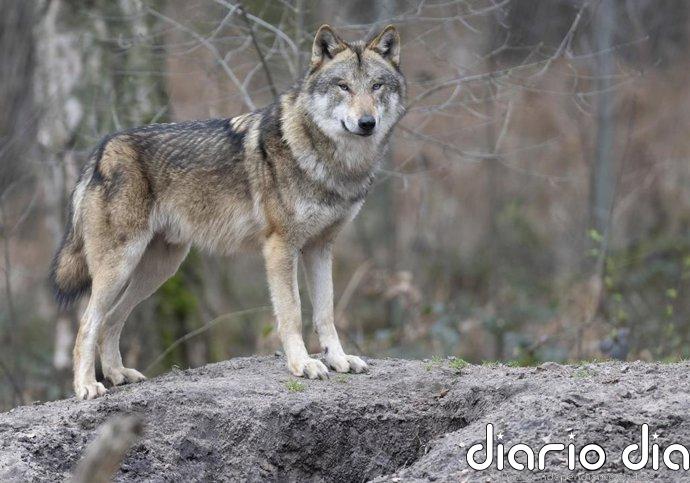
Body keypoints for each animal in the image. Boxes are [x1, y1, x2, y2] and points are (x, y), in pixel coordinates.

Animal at [50, 25, 406, 399]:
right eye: (343, 86)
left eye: (376, 86)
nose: (367, 123)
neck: (333, 163)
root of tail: (101, 149)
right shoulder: (281, 248)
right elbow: (292, 313)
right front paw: (303, 364)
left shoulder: (320, 249)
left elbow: (325, 313)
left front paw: (338, 360)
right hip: (121, 266)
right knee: (88, 323)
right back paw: (87, 386)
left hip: (158, 270)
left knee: (111, 320)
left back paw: (118, 374)